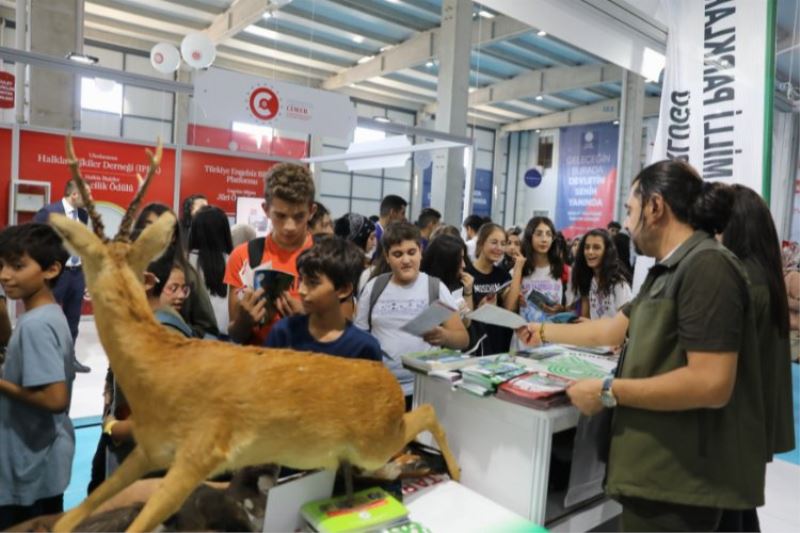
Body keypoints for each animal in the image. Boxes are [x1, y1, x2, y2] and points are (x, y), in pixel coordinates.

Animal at [50, 138, 460, 532]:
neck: (159, 368)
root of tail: (389, 381)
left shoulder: (200, 452)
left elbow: (138, 524)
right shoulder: (149, 449)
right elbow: (69, 518)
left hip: (376, 439)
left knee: (426, 413)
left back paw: (452, 470)